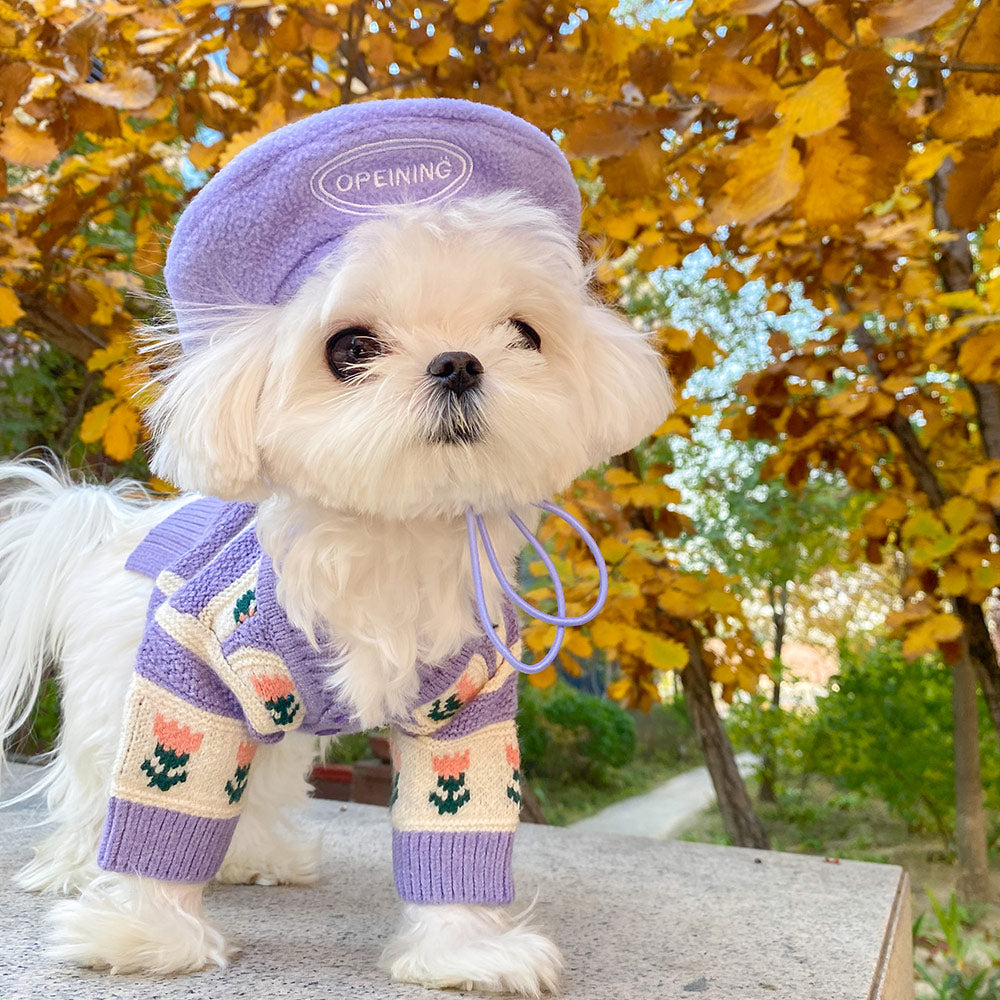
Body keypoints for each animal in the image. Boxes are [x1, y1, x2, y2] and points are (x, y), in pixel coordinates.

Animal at [1, 101, 672, 992]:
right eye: (351, 347)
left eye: (523, 333)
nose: (459, 362)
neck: (389, 535)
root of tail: (113, 521)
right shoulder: (190, 669)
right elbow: (164, 796)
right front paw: (142, 933)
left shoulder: (470, 704)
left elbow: (457, 822)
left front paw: (465, 949)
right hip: (118, 682)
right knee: (96, 775)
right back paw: (79, 865)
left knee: (257, 780)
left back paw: (255, 856)